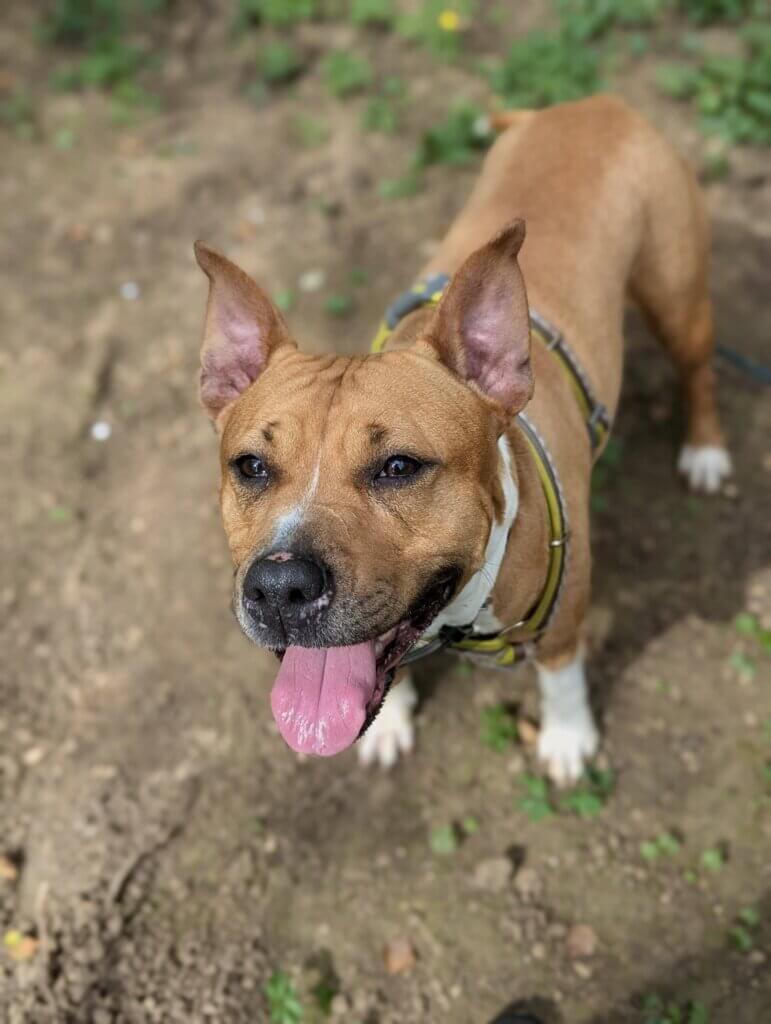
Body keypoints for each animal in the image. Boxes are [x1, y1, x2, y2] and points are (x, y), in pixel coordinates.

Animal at [194, 95, 731, 784]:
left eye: (399, 466)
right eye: (252, 467)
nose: (279, 588)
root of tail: (595, 102)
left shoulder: (567, 617)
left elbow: (561, 675)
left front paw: (566, 739)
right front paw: (389, 725)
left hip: (677, 296)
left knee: (698, 370)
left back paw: (706, 451)